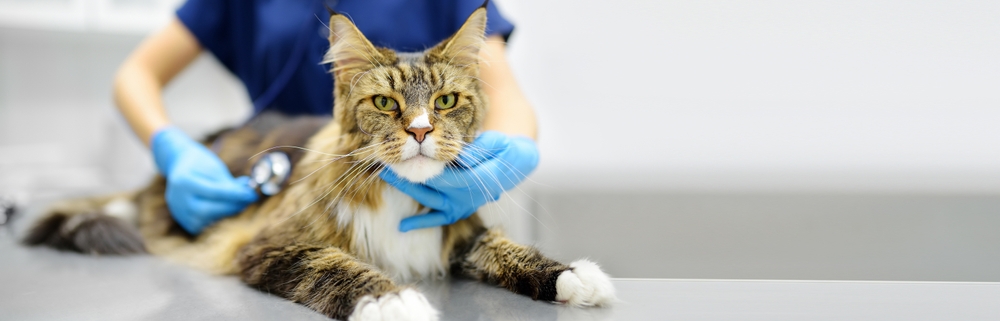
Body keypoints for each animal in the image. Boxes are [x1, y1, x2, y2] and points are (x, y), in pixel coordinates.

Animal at [21, 3, 616, 320]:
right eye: (385, 104)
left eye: (446, 102)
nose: (421, 130)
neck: (399, 197)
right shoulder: (271, 245)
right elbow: (340, 268)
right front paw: (397, 300)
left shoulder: (463, 233)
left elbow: (509, 249)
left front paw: (574, 277)